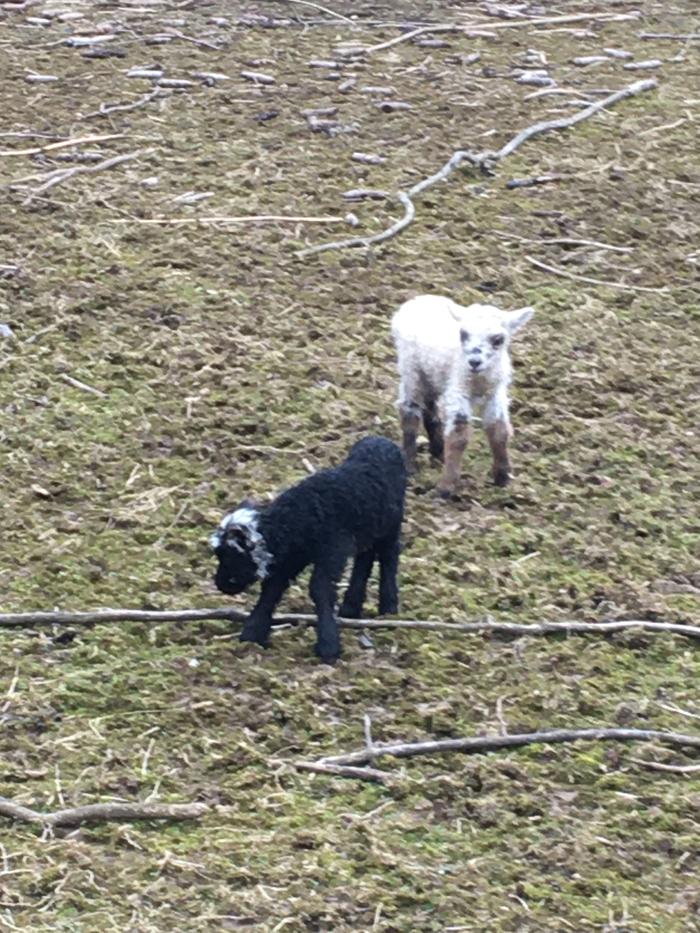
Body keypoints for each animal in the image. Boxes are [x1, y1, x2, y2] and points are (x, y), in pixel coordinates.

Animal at [209, 436, 404, 664]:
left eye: (233, 555)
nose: (221, 585)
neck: (300, 517)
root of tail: (381, 440)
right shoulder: (293, 557)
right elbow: (272, 588)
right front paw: (251, 636)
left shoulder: (332, 550)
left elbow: (320, 589)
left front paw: (328, 647)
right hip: (369, 528)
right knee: (364, 559)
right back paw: (351, 609)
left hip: (392, 523)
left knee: (389, 556)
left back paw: (388, 610)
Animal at [392, 294, 532, 498]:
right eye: (463, 334)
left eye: (498, 339)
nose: (474, 361)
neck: (478, 381)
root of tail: (419, 298)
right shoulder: (458, 390)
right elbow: (459, 435)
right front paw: (445, 487)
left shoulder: (495, 393)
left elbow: (499, 430)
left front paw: (504, 477)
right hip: (411, 369)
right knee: (410, 411)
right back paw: (410, 465)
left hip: (434, 374)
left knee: (430, 407)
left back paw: (438, 451)